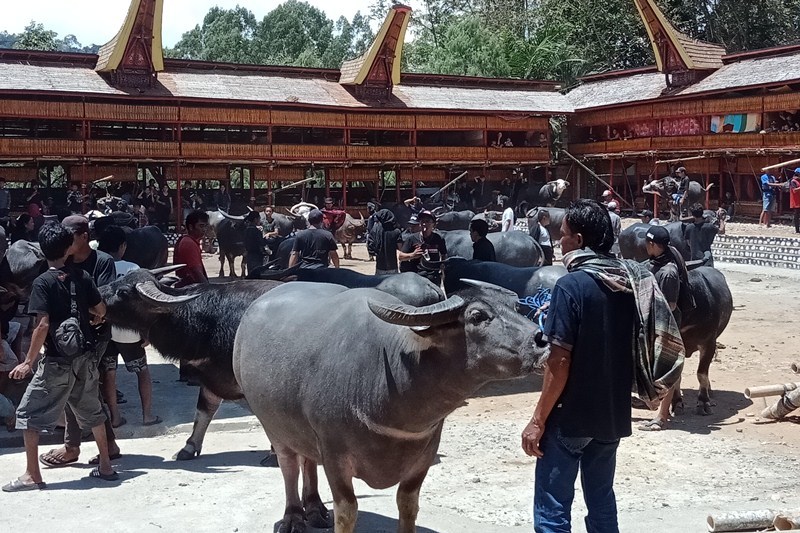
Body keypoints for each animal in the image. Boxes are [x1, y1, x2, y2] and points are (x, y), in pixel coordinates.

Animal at [99, 272, 282, 460]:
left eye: (123, 292)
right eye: (118, 280)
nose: (98, 292)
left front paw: (274, 453)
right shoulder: (212, 375)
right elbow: (204, 410)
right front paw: (189, 447)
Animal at [233, 280, 552, 528]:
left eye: (516, 307)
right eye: (477, 316)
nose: (541, 340)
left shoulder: (424, 455)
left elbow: (408, 504)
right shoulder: (335, 455)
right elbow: (347, 511)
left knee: (308, 459)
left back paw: (315, 509)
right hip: (272, 424)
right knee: (289, 464)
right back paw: (294, 517)